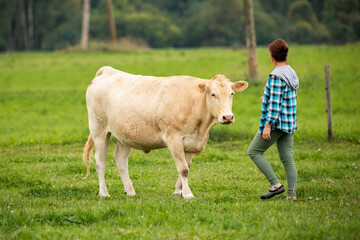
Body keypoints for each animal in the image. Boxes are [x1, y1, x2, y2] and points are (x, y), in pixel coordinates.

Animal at [83, 65, 249, 199]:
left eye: (231, 94)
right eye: (213, 94)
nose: (227, 116)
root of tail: (108, 70)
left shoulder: (191, 143)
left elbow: (186, 167)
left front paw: (178, 192)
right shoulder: (174, 139)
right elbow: (183, 169)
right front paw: (188, 194)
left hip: (126, 135)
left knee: (120, 160)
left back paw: (130, 191)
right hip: (99, 129)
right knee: (100, 161)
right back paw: (104, 193)